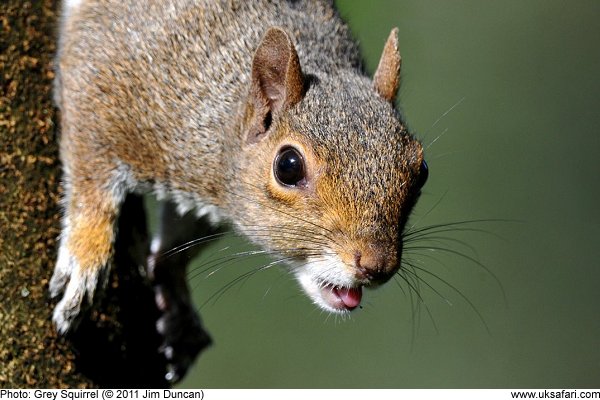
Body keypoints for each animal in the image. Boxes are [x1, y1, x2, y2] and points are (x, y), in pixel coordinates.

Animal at [50, 0, 426, 382]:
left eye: (421, 171)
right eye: (288, 166)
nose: (377, 265)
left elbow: (179, 239)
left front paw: (173, 291)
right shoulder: (108, 76)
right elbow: (90, 170)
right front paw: (87, 254)